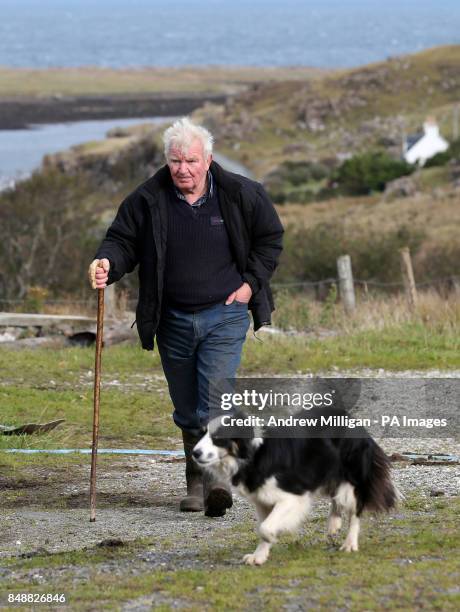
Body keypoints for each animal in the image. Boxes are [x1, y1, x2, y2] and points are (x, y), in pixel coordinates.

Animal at [192, 408, 398, 568]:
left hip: (351, 476)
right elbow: (262, 525)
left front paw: (272, 538)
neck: (254, 453)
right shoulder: (262, 500)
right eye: (201, 433)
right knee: (335, 497)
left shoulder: (292, 496)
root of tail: (354, 421)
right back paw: (333, 523)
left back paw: (349, 544)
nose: (195, 453)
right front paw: (259, 556)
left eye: (218, 438)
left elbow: (266, 527)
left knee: (355, 510)